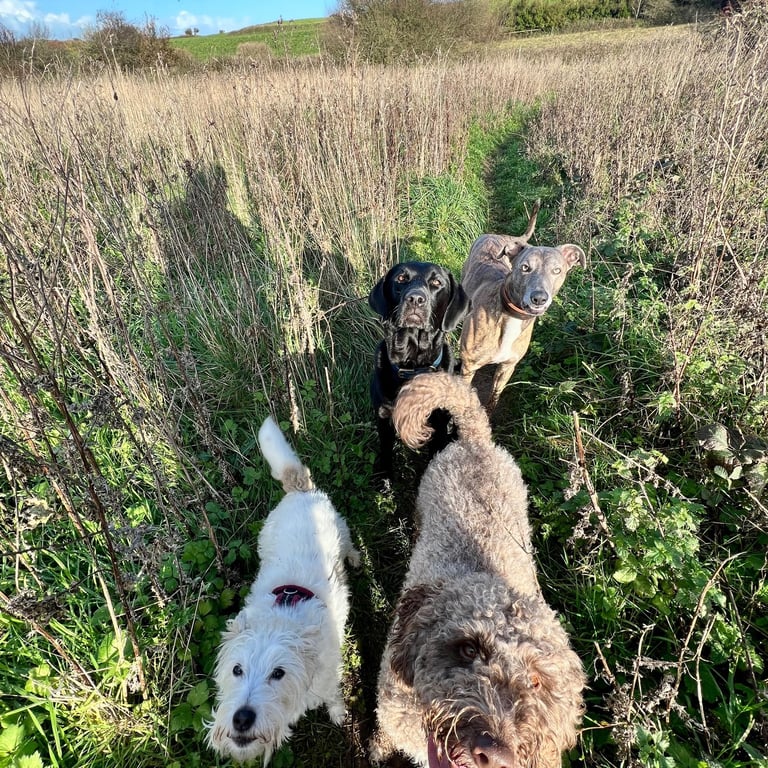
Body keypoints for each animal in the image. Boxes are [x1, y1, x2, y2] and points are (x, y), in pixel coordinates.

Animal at [207, 416, 360, 763]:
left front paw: (338, 714)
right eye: (236, 670)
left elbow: (334, 697)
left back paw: (356, 560)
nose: (241, 719)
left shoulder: (328, 678)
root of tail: (298, 488)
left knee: (350, 547)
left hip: (343, 532)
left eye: (278, 673)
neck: (282, 616)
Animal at [369, 261, 470, 476]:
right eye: (401, 278)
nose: (415, 299)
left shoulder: (439, 424)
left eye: (436, 282)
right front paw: (384, 481)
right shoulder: (383, 419)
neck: (412, 367)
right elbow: (386, 456)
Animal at [459, 203, 586, 412]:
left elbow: (494, 396)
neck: (510, 317)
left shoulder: (507, 368)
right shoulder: (468, 366)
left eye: (557, 270)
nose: (539, 298)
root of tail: (502, 235)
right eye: (525, 267)